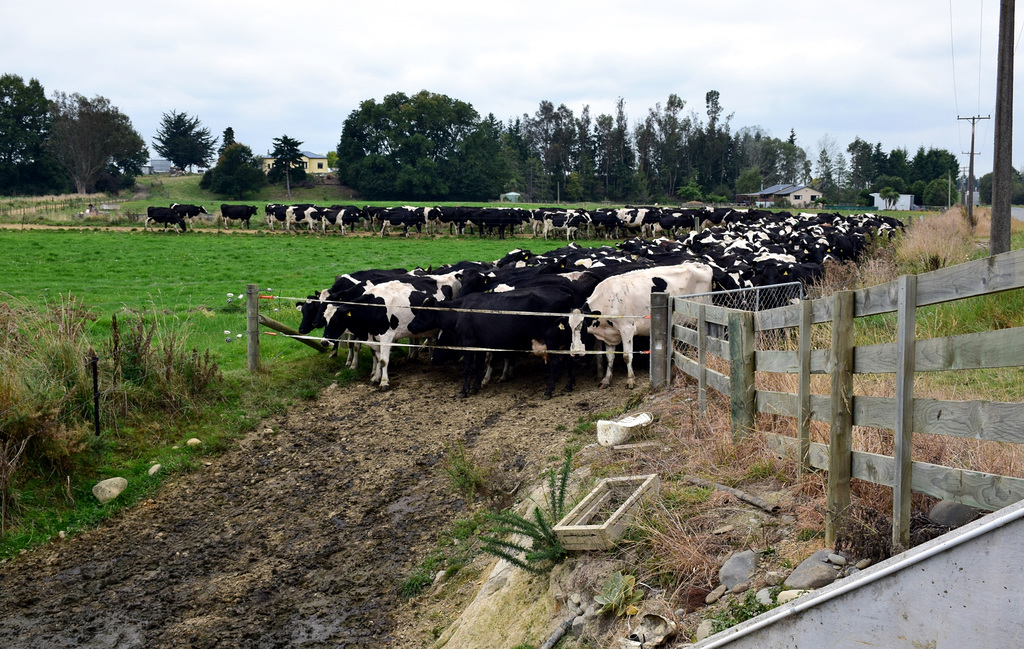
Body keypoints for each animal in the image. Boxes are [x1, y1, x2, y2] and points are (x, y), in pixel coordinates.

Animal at [569, 262, 712, 386]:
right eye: (569, 328)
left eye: (582, 328)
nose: (575, 353)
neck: (608, 300)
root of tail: (698, 264)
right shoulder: (610, 335)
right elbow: (610, 357)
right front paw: (606, 379)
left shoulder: (627, 329)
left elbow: (627, 356)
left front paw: (630, 380)